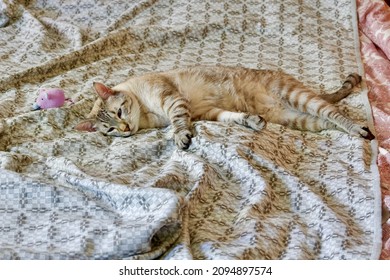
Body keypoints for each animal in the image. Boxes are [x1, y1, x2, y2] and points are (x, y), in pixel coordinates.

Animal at [75, 65, 374, 149]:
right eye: (110, 130)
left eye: (119, 112)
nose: (125, 128)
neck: (148, 116)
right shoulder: (208, 112)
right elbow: (234, 117)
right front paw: (251, 121)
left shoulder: (173, 101)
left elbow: (178, 124)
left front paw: (181, 137)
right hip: (296, 119)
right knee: (326, 123)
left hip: (298, 97)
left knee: (334, 112)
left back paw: (359, 130)